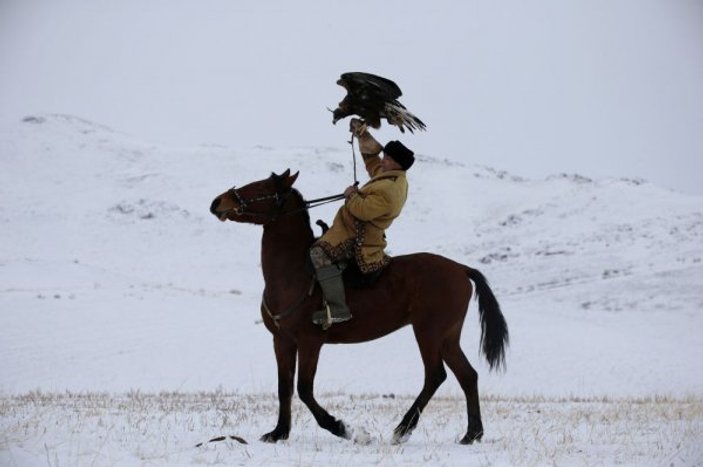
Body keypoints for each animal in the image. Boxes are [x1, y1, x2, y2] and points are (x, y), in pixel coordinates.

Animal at [210, 170, 512, 444]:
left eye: (261, 187)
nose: (218, 202)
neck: (295, 274)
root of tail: (460, 269)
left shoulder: (310, 342)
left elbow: (304, 389)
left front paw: (343, 429)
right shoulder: (282, 341)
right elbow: (284, 387)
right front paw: (279, 433)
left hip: (428, 332)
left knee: (435, 375)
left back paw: (403, 429)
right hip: (447, 337)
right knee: (467, 376)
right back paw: (472, 434)